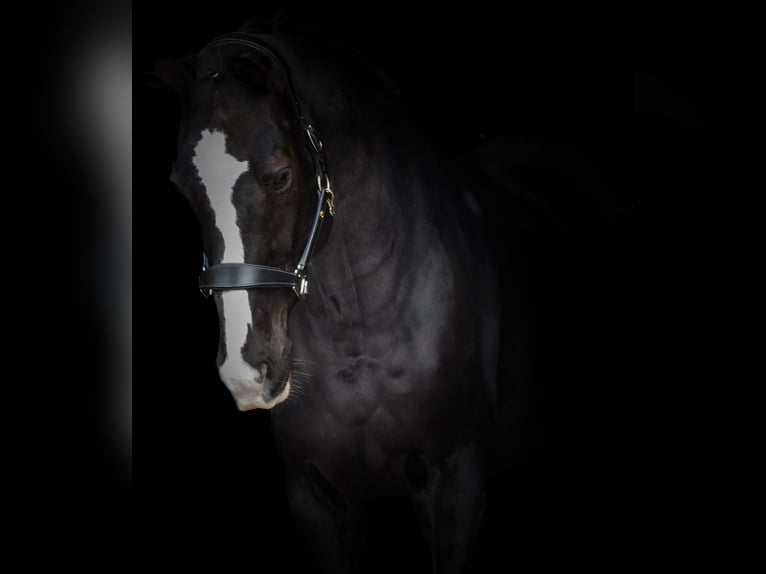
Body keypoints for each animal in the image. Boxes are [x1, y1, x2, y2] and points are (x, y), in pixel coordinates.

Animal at [148, 19, 501, 573]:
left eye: (280, 175)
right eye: (183, 188)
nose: (245, 373)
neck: (362, 327)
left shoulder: (458, 486)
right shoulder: (319, 501)